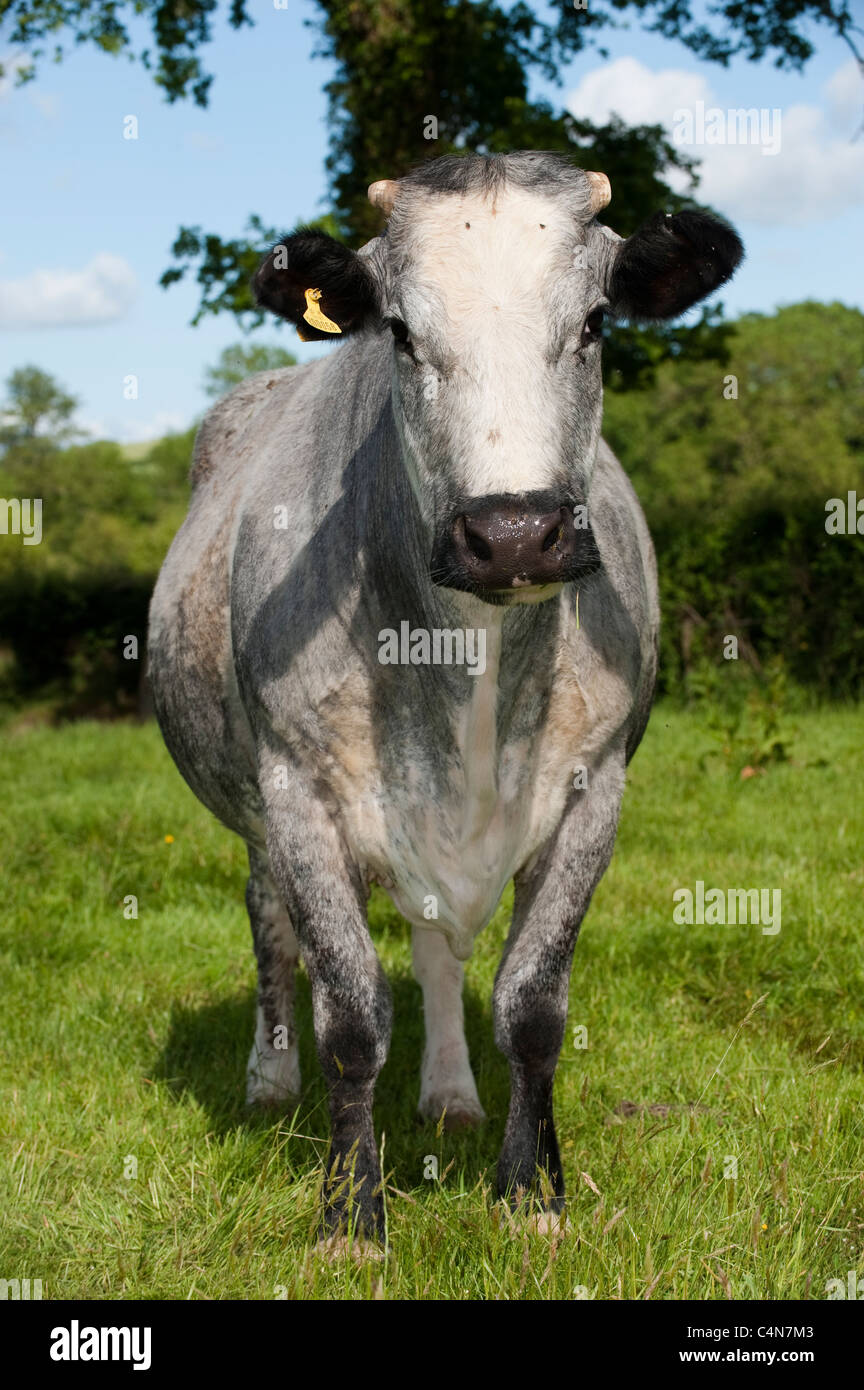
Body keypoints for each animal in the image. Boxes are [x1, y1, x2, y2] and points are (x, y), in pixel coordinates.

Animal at [148, 151, 742, 1245]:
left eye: (596, 321)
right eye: (400, 330)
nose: (512, 533)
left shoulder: (598, 789)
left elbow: (532, 1006)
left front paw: (533, 1193)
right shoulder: (297, 790)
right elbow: (349, 1013)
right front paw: (349, 1219)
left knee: (433, 945)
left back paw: (452, 1095)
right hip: (253, 807)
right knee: (269, 920)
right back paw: (269, 1077)